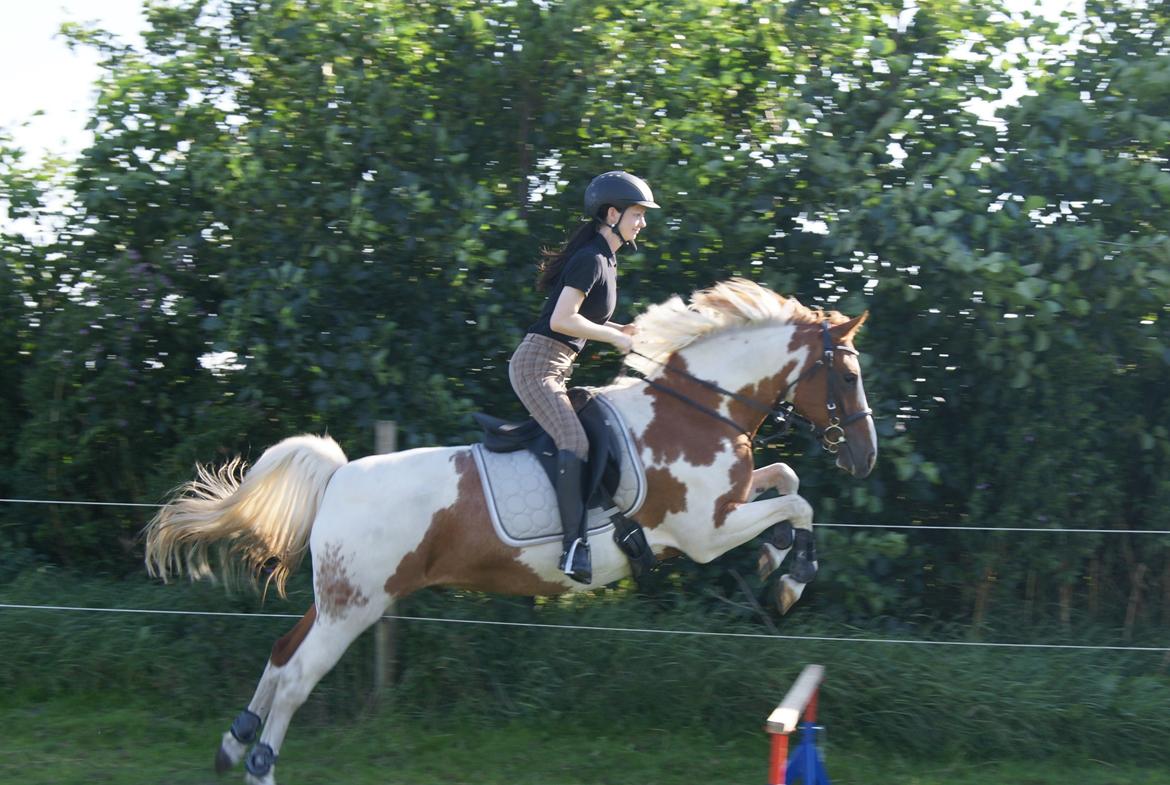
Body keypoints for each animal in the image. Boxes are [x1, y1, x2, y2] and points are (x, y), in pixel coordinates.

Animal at [141, 278, 875, 785]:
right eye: (848, 373)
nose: (864, 457)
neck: (698, 409)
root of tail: (340, 478)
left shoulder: (727, 505)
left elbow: (788, 482)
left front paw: (778, 564)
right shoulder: (706, 530)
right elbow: (796, 503)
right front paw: (791, 577)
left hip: (337, 598)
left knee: (280, 653)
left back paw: (232, 743)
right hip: (356, 605)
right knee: (297, 676)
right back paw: (259, 765)